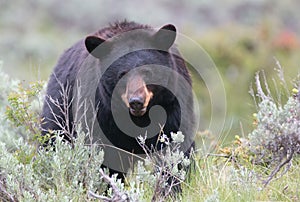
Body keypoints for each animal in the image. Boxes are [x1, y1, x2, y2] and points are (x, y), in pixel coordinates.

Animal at [42, 21, 196, 180]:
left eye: (147, 72)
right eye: (122, 74)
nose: (136, 101)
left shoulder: (172, 105)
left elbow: (175, 146)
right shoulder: (99, 111)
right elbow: (103, 153)